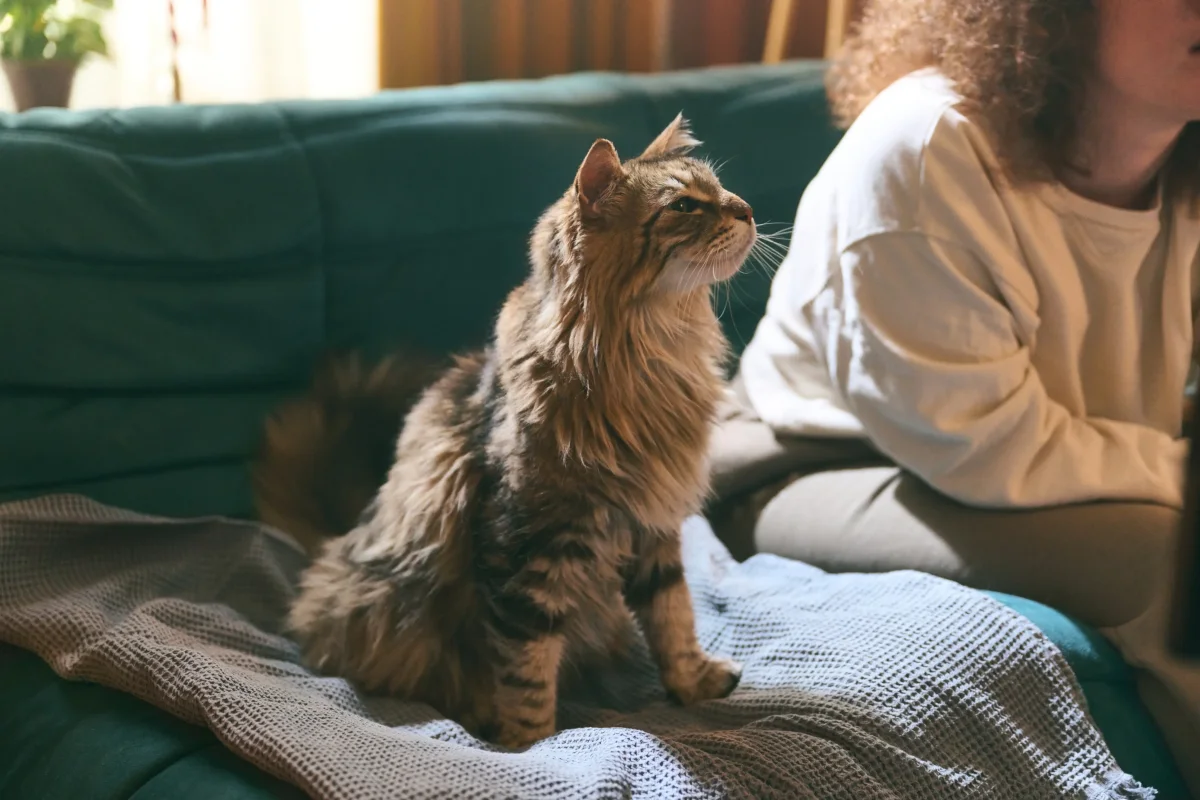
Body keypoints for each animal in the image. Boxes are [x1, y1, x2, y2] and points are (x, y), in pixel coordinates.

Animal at [253, 113, 753, 753]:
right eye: (685, 205)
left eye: (720, 190)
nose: (747, 209)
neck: (650, 359)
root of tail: (333, 546)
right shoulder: (524, 544)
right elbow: (527, 666)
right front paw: (529, 744)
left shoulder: (653, 528)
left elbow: (674, 617)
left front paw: (692, 683)